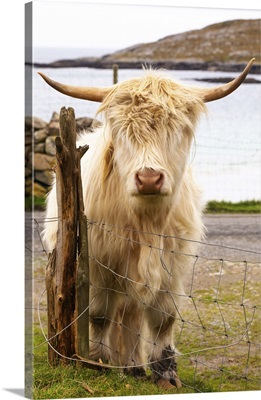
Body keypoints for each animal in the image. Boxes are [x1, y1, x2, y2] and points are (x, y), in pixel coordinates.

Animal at [39, 61, 253, 390]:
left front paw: (166, 374)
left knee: (131, 315)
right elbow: (99, 314)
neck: (146, 222)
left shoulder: (172, 267)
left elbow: (164, 319)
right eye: (122, 130)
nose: (149, 179)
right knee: (117, 314)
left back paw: (134, 367)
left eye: (178, 129)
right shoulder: (98, 265)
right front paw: (99, 362)